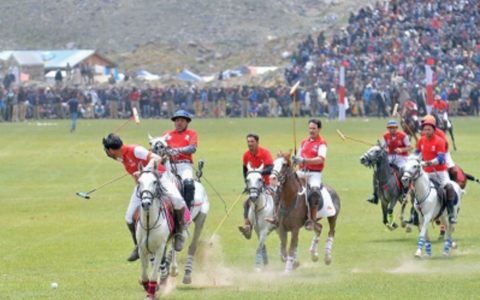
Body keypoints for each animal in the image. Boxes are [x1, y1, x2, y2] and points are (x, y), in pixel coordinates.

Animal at [147, 135, 209, 284]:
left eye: (163, 145)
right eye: (151, 143)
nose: (157, 151)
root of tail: (198, 181)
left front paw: (170, 271)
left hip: (200, 218)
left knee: (192, 245)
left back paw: (186, 274)